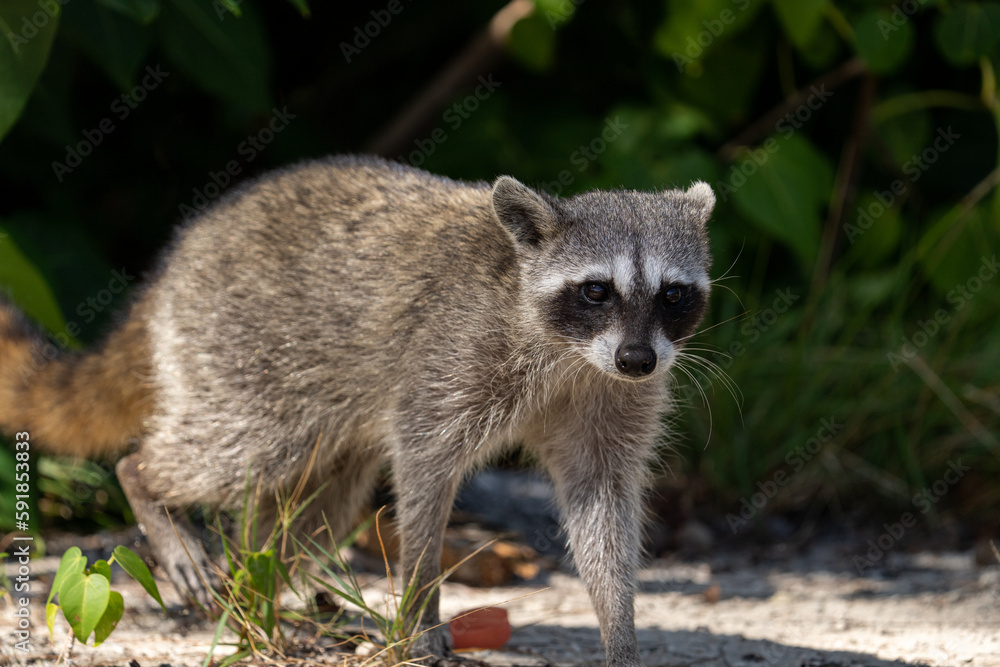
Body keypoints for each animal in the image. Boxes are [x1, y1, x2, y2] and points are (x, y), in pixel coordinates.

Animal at [0, 155, 714, 666]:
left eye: (673, 295)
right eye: (596, 291)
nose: (637, 359)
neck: (572, 356)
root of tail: (174, 265)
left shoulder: (614, 394)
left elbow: (602, 500)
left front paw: (619, 627)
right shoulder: (454, 355)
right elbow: (424, 470)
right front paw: (420, 606)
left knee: (314, 509)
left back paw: (256, 596)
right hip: (245, 351)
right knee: (234, 448)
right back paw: (148, 483)